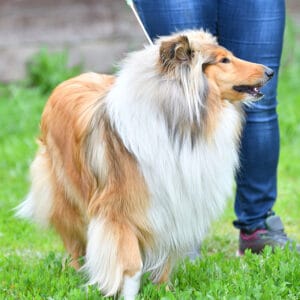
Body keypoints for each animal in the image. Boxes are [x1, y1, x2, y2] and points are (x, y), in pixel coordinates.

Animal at [17, 29, 274, 298]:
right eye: (224, 60)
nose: (270, 71)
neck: (184, 126)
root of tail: (67, 82)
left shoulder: (177, 204)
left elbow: (167, 255)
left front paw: (165, 290)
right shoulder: (118, 213)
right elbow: (132, 265)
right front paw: (127, 293)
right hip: (66, 196)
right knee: (73, 240)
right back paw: (75, 274)